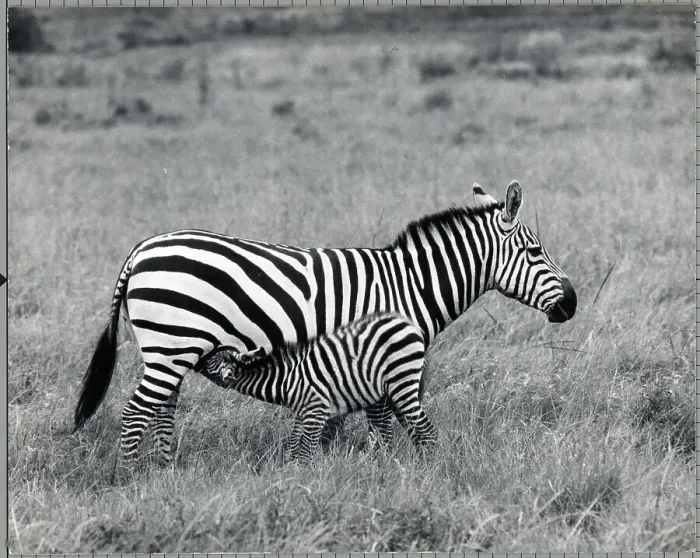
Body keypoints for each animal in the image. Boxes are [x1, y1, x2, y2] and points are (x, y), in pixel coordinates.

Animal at [197, 312, 437, 461]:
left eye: (209, 360)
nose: (197, 352)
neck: (285, 381)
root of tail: (406, 323)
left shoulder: (316, 411)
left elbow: (306, 451)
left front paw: (303, 478)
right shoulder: (301, 413)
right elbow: (294, 445)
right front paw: (290, 470)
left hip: (402, 382)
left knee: (427, 429)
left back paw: (427, 466)